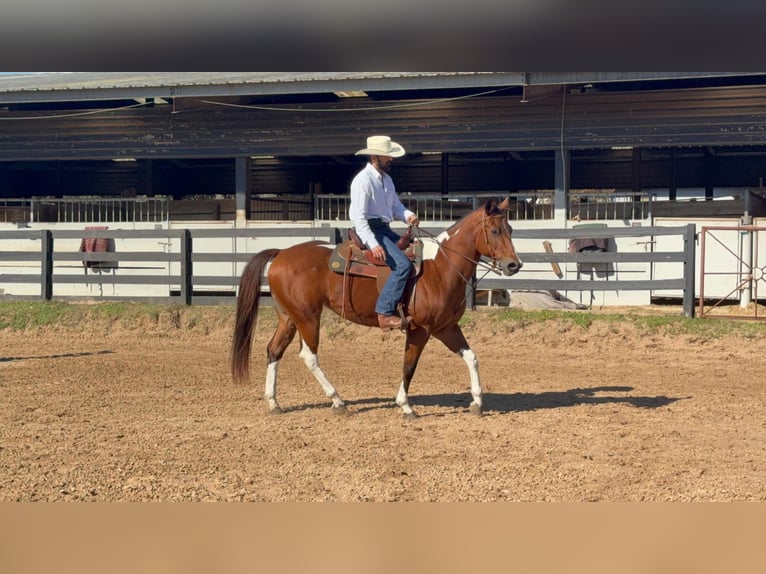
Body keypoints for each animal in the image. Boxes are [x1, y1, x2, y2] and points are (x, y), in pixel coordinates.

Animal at [231, 197, 522, 418]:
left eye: (510, 229)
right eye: (494, 231)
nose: (514, 265)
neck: (440, 267)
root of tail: (281, 253)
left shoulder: (446, 328)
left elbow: (471, 357)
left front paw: (477, 402)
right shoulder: (420, 329)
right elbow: (409, 365)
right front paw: (406, 406)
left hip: (289, 318)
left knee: (274, 350)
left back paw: (274, 402)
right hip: (308, 318)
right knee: (308, 356)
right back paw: (337, 400)